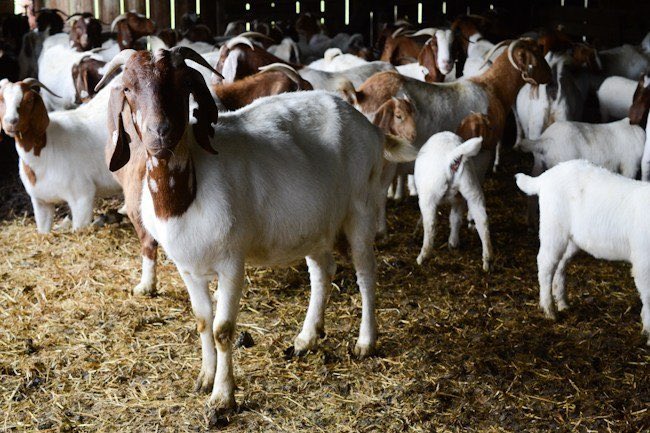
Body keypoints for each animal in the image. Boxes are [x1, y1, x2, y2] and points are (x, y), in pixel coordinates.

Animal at [96, 47, 416, 415]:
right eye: (128, 88)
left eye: (182, 84)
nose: (159, 133)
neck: (186, 195)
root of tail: (370, 128)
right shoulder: (188, 268)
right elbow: (202, 321)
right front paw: (205, 377)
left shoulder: (232, 262)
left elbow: (222, 330)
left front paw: (222, 397)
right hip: (312, 224)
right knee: (323, 271)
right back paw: (307, 337)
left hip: (361, 208)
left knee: (365, 273)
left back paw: (365, 342)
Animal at [516, 160, 650, 346]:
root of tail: (546, 177)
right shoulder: (643, 261)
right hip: (553, 227)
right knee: (545, 264)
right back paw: (549, 310)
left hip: (572, 240)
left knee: (560, 266)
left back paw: (563, 303)